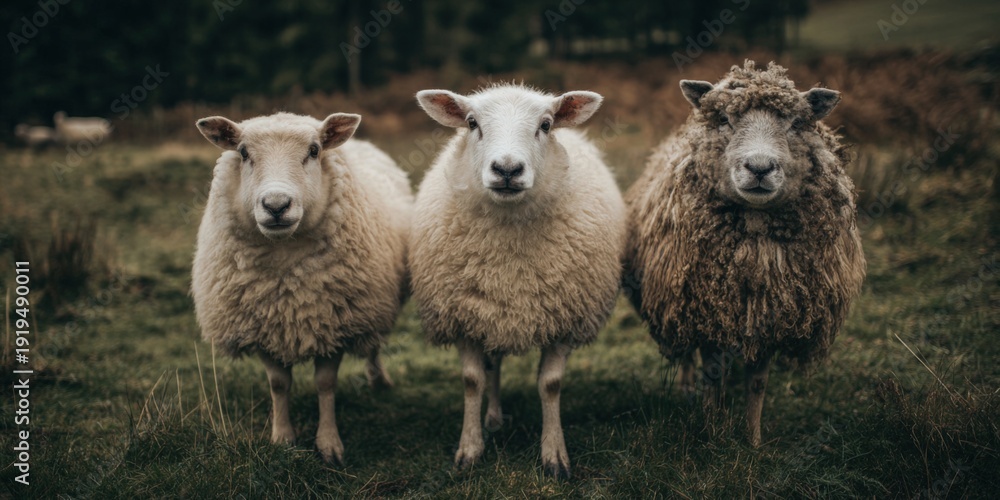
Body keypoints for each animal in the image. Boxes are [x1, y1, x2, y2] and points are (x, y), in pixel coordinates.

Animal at [191, 111, 412, 464]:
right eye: (243, 152)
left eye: (314, 150)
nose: (276, 205)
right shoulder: (261, 330)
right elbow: (279, 385)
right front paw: (283, 438)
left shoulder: (335, 326)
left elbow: (325, 384)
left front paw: (329, 443)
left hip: (369, 306)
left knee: (373, 345)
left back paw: (379, 380)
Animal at [411, 84, 626, 479]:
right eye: (471, 122)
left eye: (546, 124)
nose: (507, 169)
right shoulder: (464, 317)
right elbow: (473, 380)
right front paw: (469, 449)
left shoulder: (564, 319)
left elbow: (550, 385)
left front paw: (554, 455)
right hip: (489, 313)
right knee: (492, 366)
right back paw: (493, 419)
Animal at [622, 61, 866, 446]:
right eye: (723, 118)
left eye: (796, 123)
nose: (760, 168)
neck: (755, 254)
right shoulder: (707, 312)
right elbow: (711, 376)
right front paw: (711, 430)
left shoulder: (770, 317)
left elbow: (757, 383)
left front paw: (752, 440)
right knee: (687, 356)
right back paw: (687, 390)